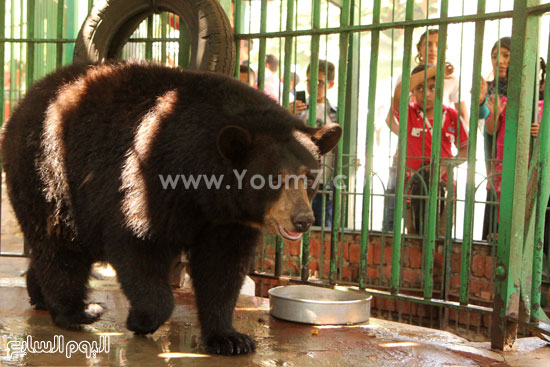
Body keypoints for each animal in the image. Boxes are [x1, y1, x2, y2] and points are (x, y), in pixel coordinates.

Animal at [1, 62, 340, 356]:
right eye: (271, 179)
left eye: (309, 176)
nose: (303, 220)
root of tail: (25, 100)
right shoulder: (151, 172)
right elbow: (138, 241)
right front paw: (140, 319)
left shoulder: (226, 220)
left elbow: (223, 266)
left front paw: (230, 338)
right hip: (48, 169)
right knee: (59, 242)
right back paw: (78, 311)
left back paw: (39, 295)